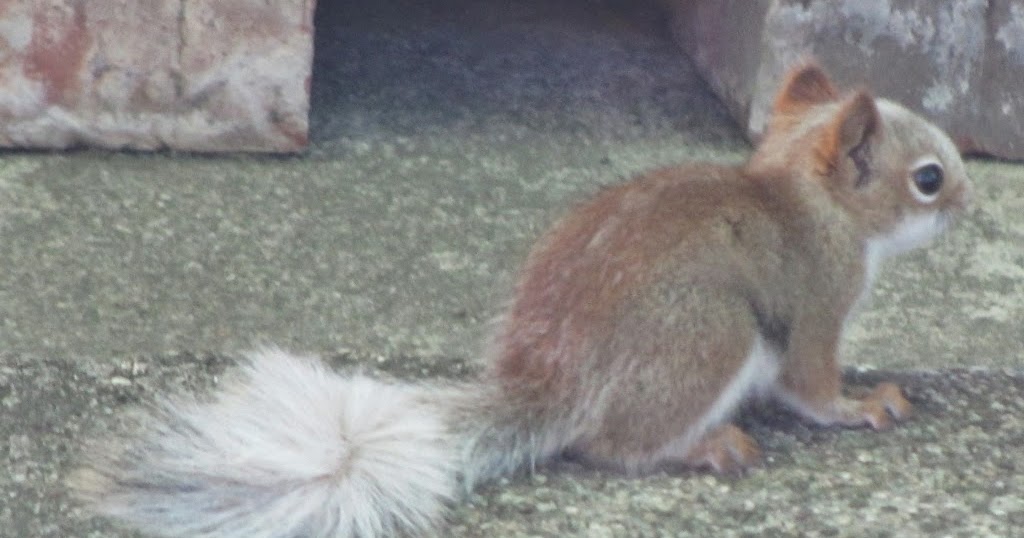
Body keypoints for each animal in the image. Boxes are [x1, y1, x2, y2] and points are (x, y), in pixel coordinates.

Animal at [71, 63, 972, 538]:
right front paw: (865, 404)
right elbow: (812, 385)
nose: (969, 205)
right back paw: (705, 444)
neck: (809, 198)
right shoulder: (819, 299)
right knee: (614, 444)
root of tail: (556, 383)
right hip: (710, 331)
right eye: (928, 179)